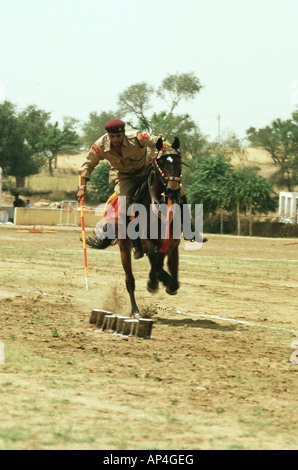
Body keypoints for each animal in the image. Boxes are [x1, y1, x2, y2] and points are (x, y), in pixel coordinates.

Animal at [86, 138, 186, 318]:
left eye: (178, 162)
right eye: (161, 163)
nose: (173, 189)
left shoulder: (172, 244)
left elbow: (170, 265)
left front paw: (170, 283)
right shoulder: (147, 241)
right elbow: (154, 260)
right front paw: (153, 283)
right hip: (124, 247)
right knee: (130, 280)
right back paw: (135, 311)